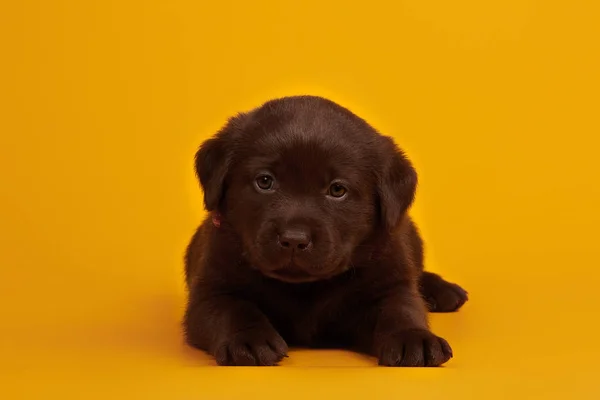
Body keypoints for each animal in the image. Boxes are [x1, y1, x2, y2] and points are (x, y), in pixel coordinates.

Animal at [184, 96, 468, 366]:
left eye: (337, 189)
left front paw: (413, 338)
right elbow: (233, 309)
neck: (305, 287)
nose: (294, 239)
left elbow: (401, 308)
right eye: (264, 181)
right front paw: (248, 339)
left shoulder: (391, 280)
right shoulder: (211, 288)